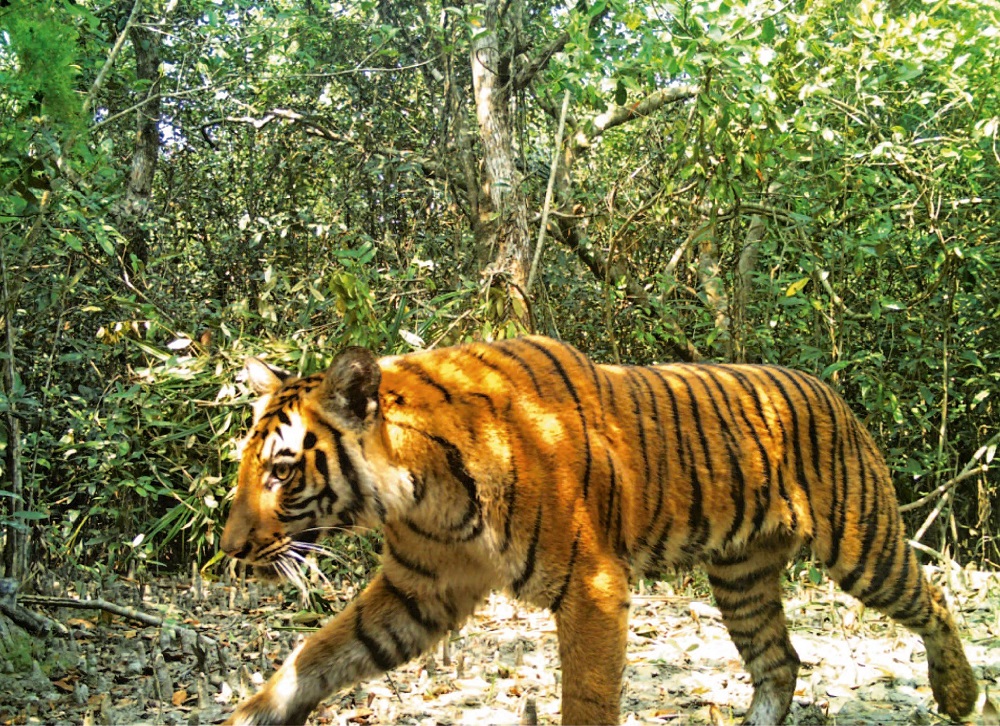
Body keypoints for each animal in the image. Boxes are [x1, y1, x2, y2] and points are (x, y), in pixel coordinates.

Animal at [220, 335, 978, 725]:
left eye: (282, 471)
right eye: (245, 465)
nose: (228, 550)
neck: (421, 493)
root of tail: (830, 388)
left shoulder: (591, 585)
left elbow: (585, 697)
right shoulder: (418, 591)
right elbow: (319, 654)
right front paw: (254, 714)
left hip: (860, 544)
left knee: (935, 601)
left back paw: (959, 693)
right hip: (742, 575)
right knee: (779, 661)